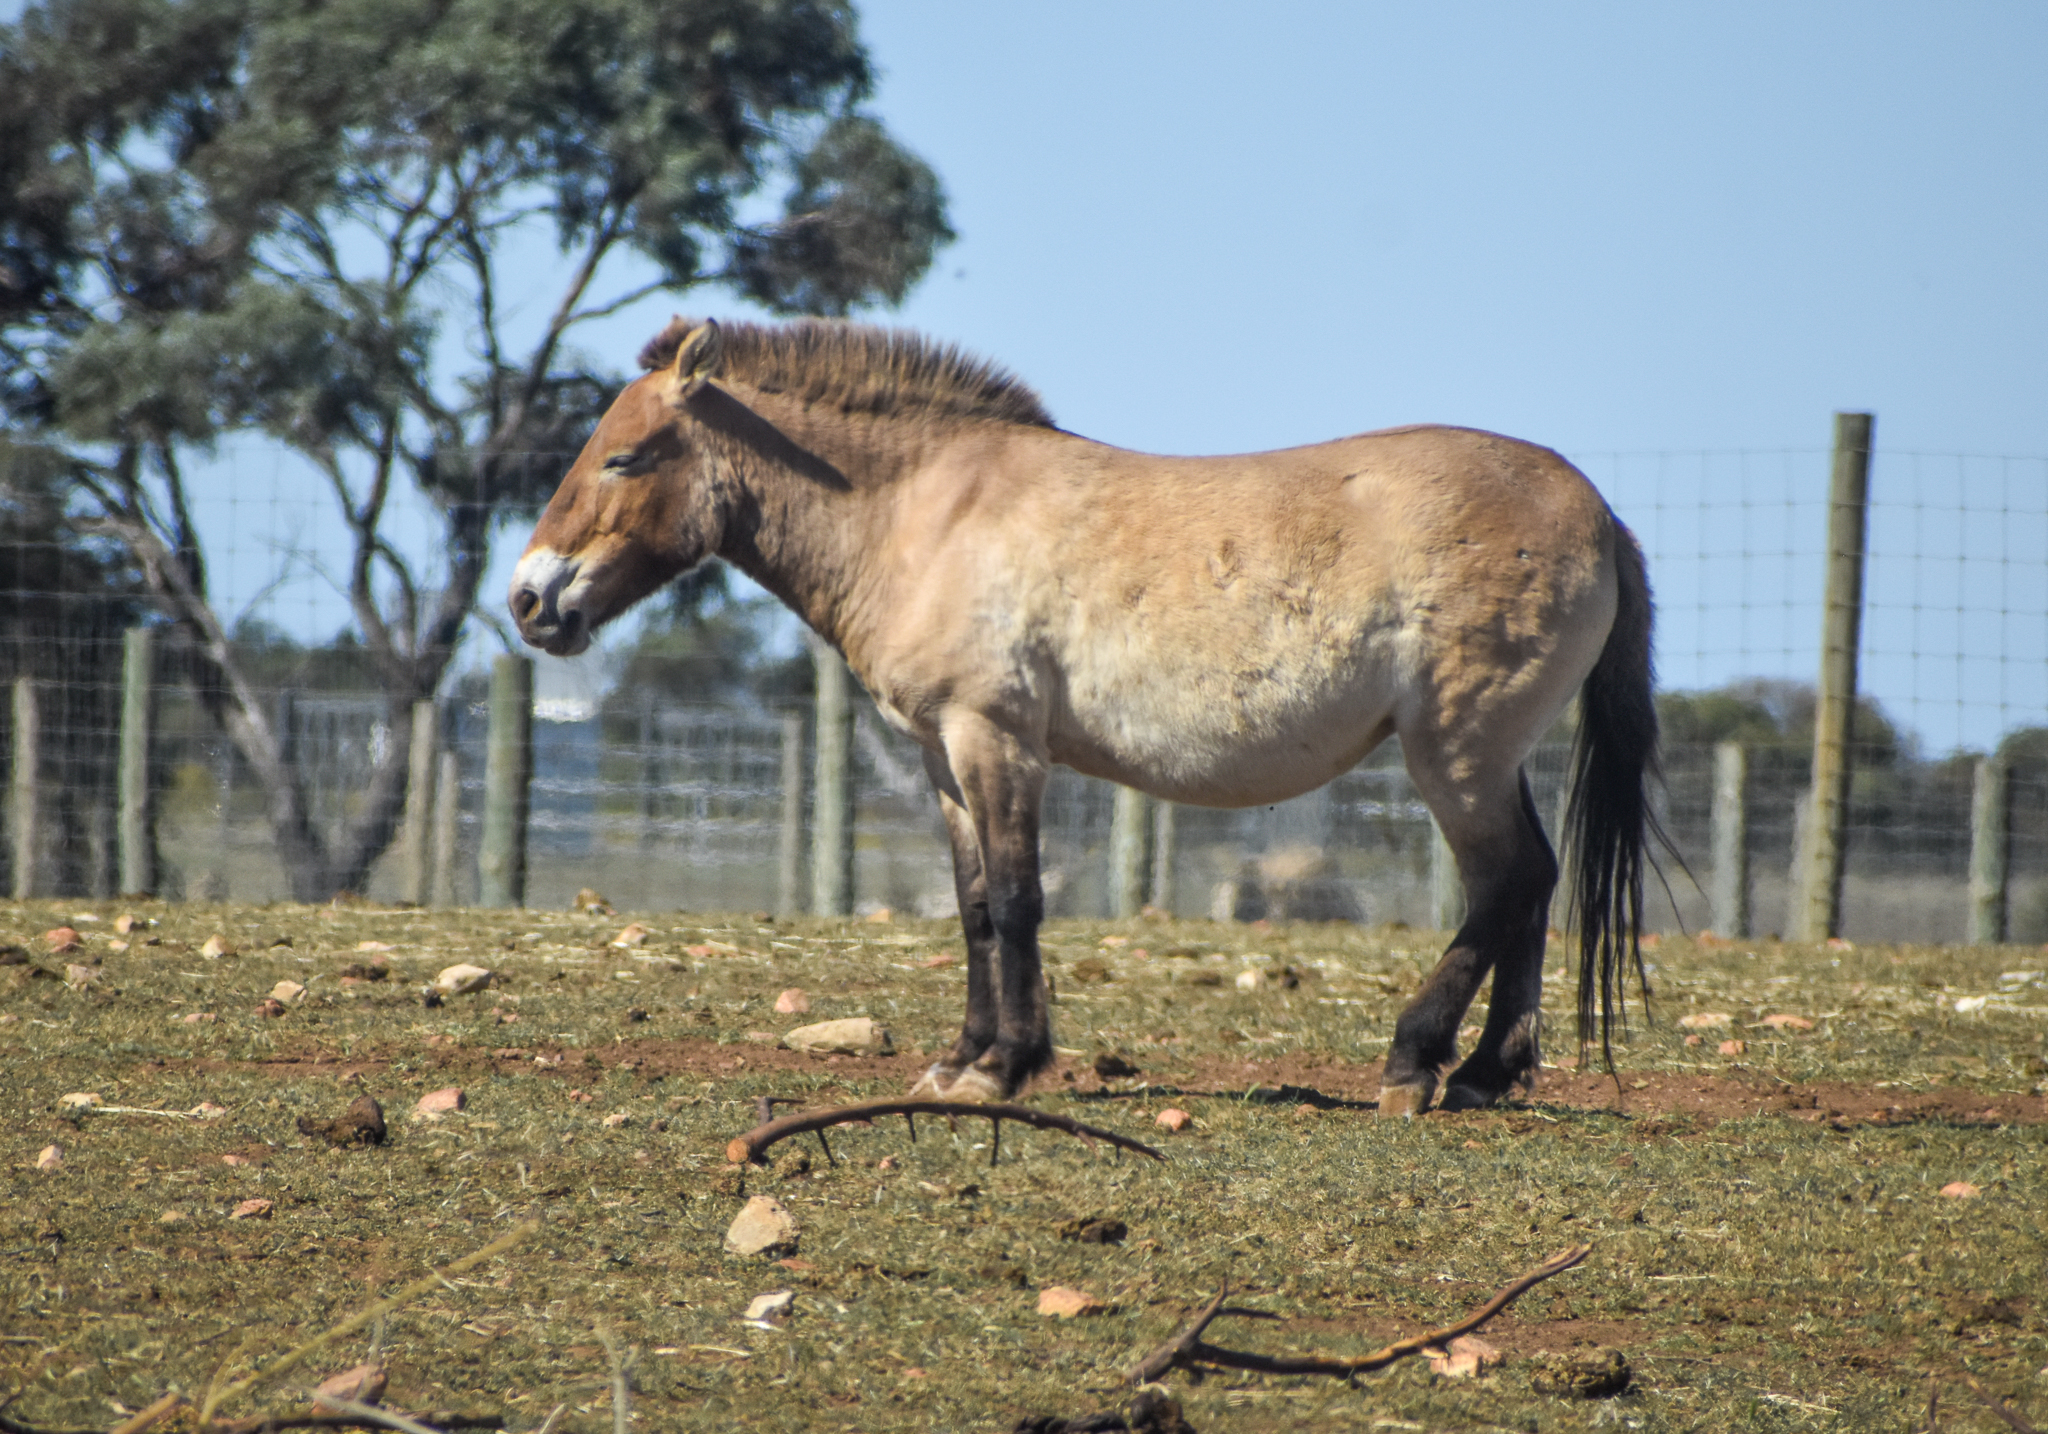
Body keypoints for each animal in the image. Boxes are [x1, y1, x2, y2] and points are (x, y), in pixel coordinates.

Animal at [510, 316, 1660, 1116]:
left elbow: (1020, 902)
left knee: (1505, 883)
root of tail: (1598, 511)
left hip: (1453, 755)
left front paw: (1007, 1067)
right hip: (1487, 757)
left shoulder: (995, 741)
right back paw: (1485, 1074)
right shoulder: (941, 756)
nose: (528, 600)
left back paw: (1415, 1064)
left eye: (622, 456)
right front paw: (961, 1059)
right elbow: (974, 906)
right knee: (1531, 886)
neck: (926, 514)